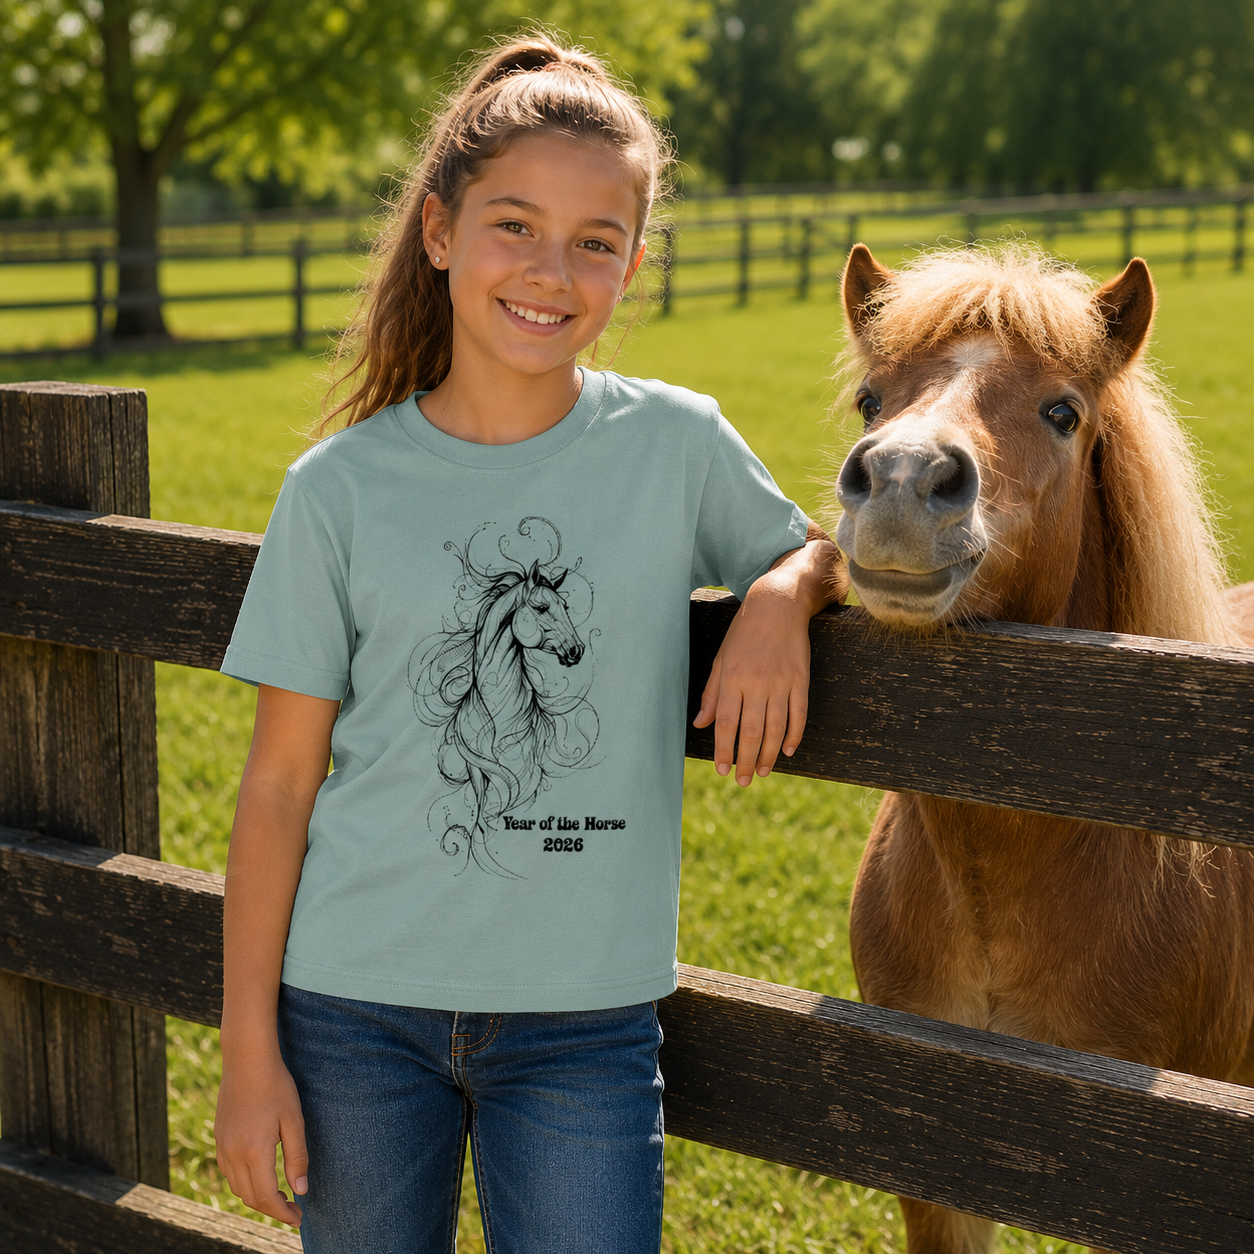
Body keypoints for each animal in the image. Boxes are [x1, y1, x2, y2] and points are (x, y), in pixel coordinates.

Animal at [410, 517, 599, 877]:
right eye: (542, 607)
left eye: (566, 606)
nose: (576, 650)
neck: (498, 714)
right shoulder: (477, 769)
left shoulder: (527, 767)